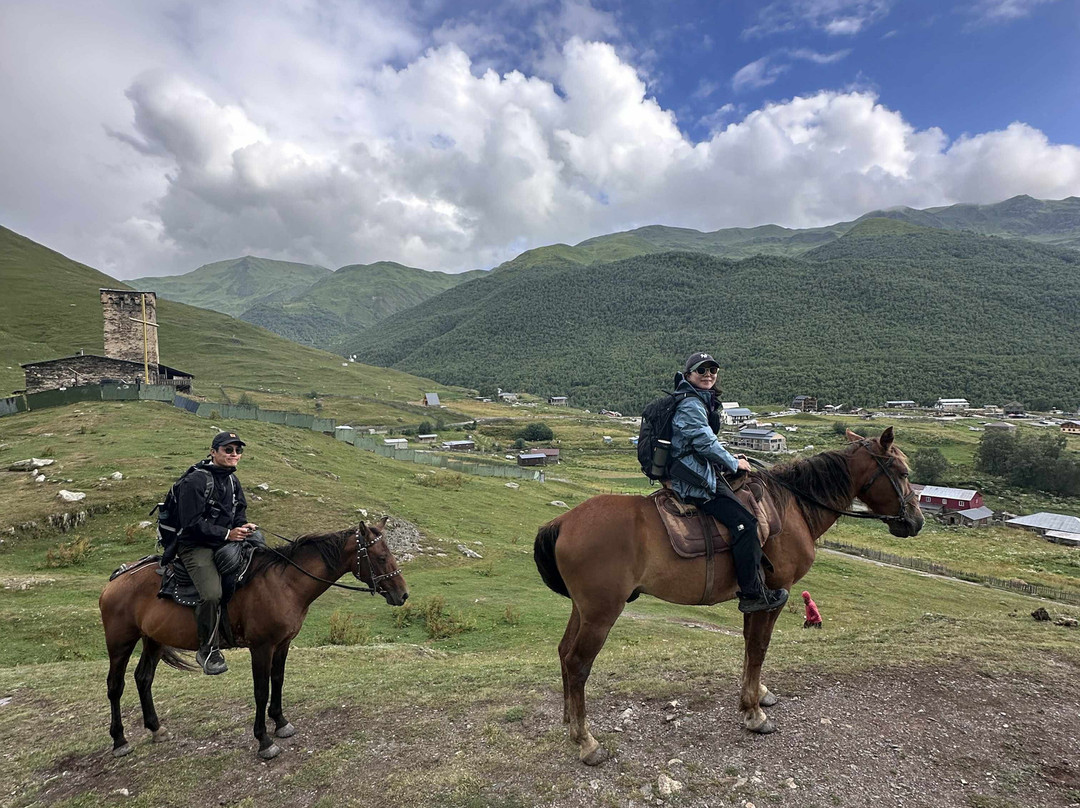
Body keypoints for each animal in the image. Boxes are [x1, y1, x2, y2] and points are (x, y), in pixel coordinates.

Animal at [99, 518, 408, 760]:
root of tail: (116, 579)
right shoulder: (261, 647)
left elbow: (278, 681)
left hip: (152, 639)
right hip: (120, 642)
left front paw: (281, 722)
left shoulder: (283, 644)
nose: (402, 595)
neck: (284, 583)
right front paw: (264, 741)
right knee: (115, 685)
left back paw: (156, 728)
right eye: (381, 557)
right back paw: (120, 741)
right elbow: (261, 691)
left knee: (143, 678)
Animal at [534, 428, 923, 764]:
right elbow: (760, 647)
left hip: (583, 609)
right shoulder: (778, 592)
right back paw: (586, 742)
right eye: (903, 472)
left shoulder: (755, 596)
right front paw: (754, 713)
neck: (792, 507)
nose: (916, 521)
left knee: (564, 652)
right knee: (578, 664)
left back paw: (570, 722)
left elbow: (750, 645)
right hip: (601, 613)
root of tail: (563, 522)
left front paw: (758, 695)